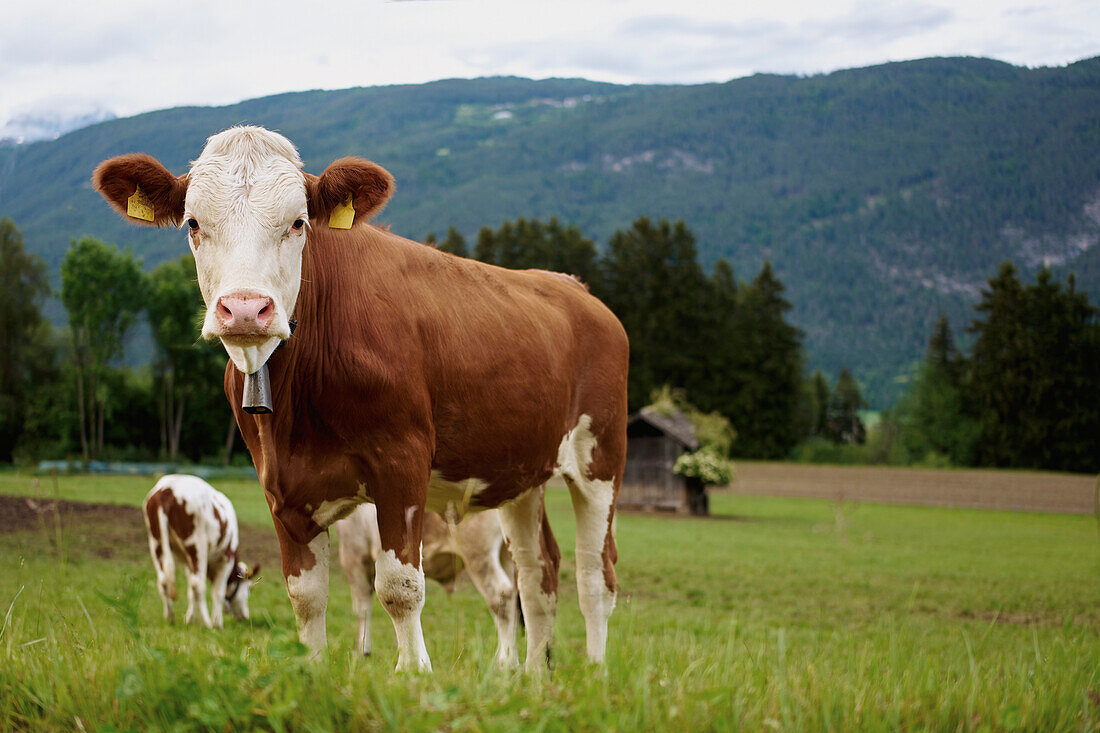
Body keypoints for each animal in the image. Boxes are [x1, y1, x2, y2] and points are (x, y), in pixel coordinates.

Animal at [141, 473, 259, 629]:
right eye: (250, 588)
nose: (245, 616)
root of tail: (167, 489)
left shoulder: (187, 563)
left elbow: (191, 592)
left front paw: (189, 619)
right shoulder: (227, 558)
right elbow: (217, 592)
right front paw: (217, 623)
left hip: (156, 542)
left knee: (164, 581)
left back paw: (170, 617)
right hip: (197, 545)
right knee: (198, 584)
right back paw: (207, 623)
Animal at [332, 501, 517, 660]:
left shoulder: (354, 554)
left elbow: (362, 608)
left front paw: (363, 651)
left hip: (477, 553)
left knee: (500, 595)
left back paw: (504, 661)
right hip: (506, 554)